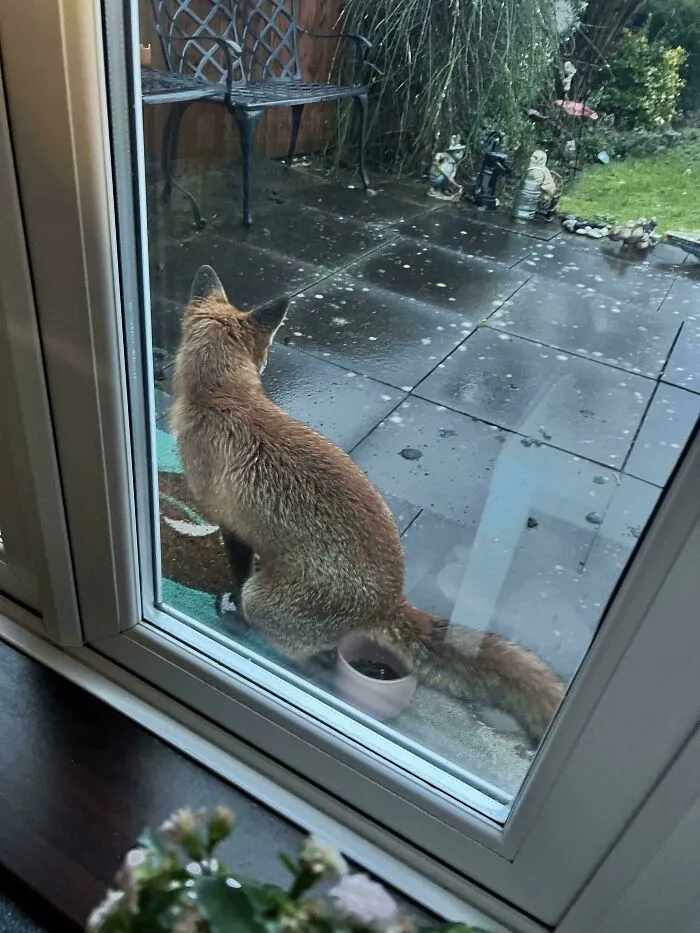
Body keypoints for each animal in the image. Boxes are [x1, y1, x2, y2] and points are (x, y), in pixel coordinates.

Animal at [170, 265, 565, 745]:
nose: (267, 364)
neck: (222, 397)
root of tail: (391, 599)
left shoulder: (230, 524)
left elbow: (238, 570)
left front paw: (228, 601)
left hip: (264, 600)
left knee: (308, 655)